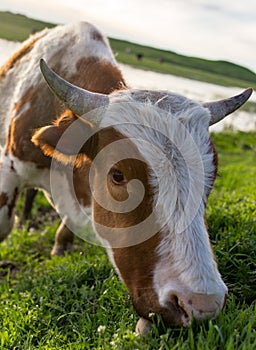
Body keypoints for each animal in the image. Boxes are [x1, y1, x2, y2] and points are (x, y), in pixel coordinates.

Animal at [0, 21, 253, 330]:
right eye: (118, 175)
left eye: (211, 178)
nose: (202, 304)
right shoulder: (9, 168)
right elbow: (4, 225)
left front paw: (60, 246)